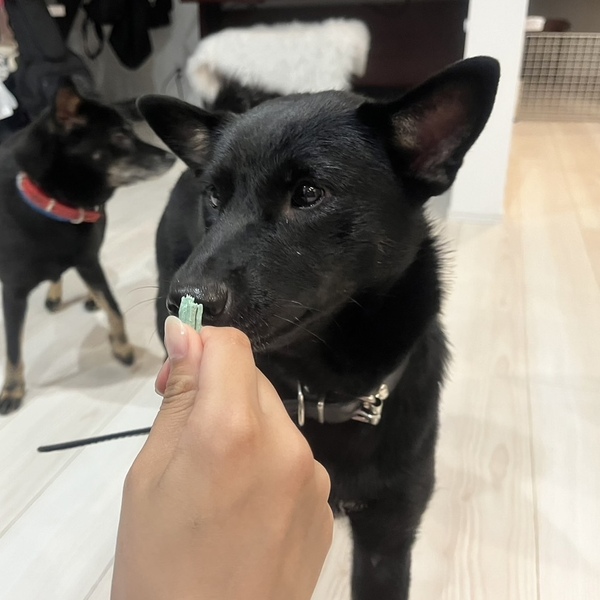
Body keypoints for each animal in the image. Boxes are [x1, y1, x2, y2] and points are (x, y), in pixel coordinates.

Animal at [0, 81, 175, 414]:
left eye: (130, 131)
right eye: (119, 136)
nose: (170, 157)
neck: (53, 206)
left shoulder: (88, 260)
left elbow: (115, 308)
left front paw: (121, 346)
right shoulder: (13, 292)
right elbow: (13, 348)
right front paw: (13, 389)